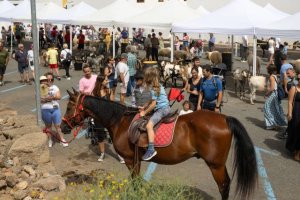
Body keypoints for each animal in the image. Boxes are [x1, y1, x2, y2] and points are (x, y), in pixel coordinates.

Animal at [61, 89, 258, 200]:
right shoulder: (136, 160)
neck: (120, 122)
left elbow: (135, 182)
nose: (63, 127)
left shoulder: (130, 160)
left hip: (215, 165)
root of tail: (225, 119)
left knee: (224, 186)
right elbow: (137, 182)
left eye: (69, 107)